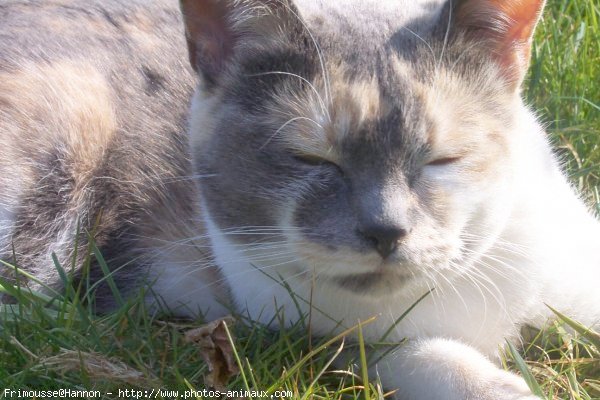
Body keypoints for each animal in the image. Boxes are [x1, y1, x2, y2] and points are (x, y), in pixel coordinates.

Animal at [1, 0, 600, 400]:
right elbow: (412, 355)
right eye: (312, 159)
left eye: (442, 158)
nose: (385, 230)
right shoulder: (293, 336)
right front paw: (501, 387)